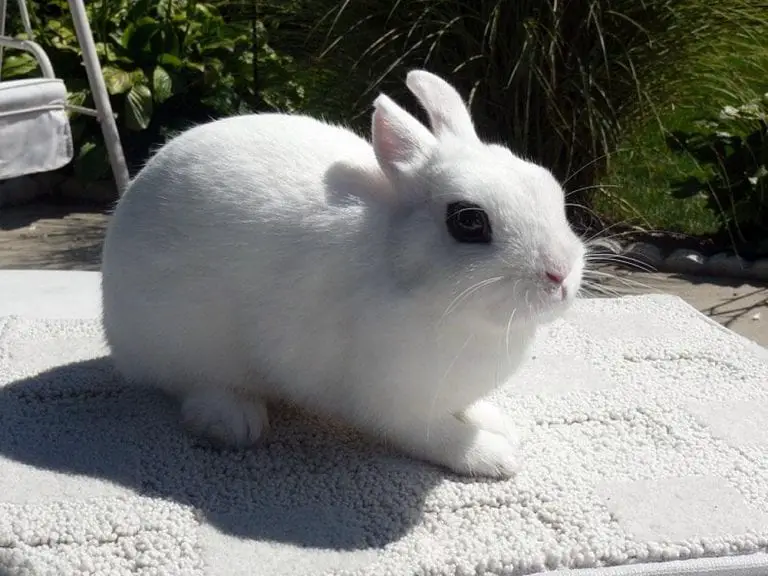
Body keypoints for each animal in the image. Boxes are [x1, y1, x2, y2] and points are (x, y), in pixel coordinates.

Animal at [100, 69, 585, 478]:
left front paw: (497, 422)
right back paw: (234, 420)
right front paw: (494, 456)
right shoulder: (396, 403)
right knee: (191, 385)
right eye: (468, 221)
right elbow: (437, 436)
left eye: (546, 183)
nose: (560, 275)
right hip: (182, 344)